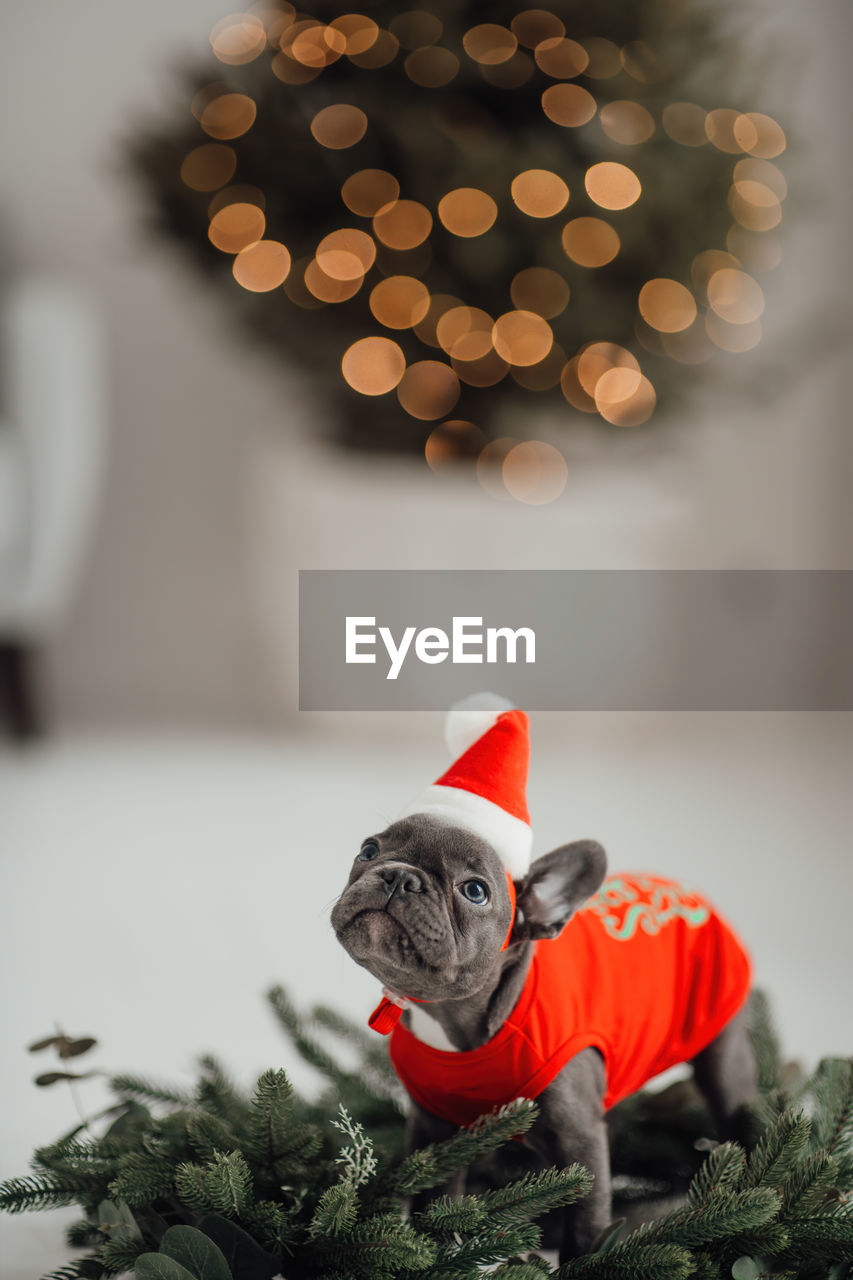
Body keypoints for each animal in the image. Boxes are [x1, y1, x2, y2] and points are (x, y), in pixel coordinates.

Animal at [327, 814, 753, 1254]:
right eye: (369, 850)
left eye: (474, 891)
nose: (399, 876)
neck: (450, 1023)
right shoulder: (433, 1131)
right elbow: (434, 1202)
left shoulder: (581, 1143)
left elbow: (586, 1228)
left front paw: (586, 1261)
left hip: (722, 1048)